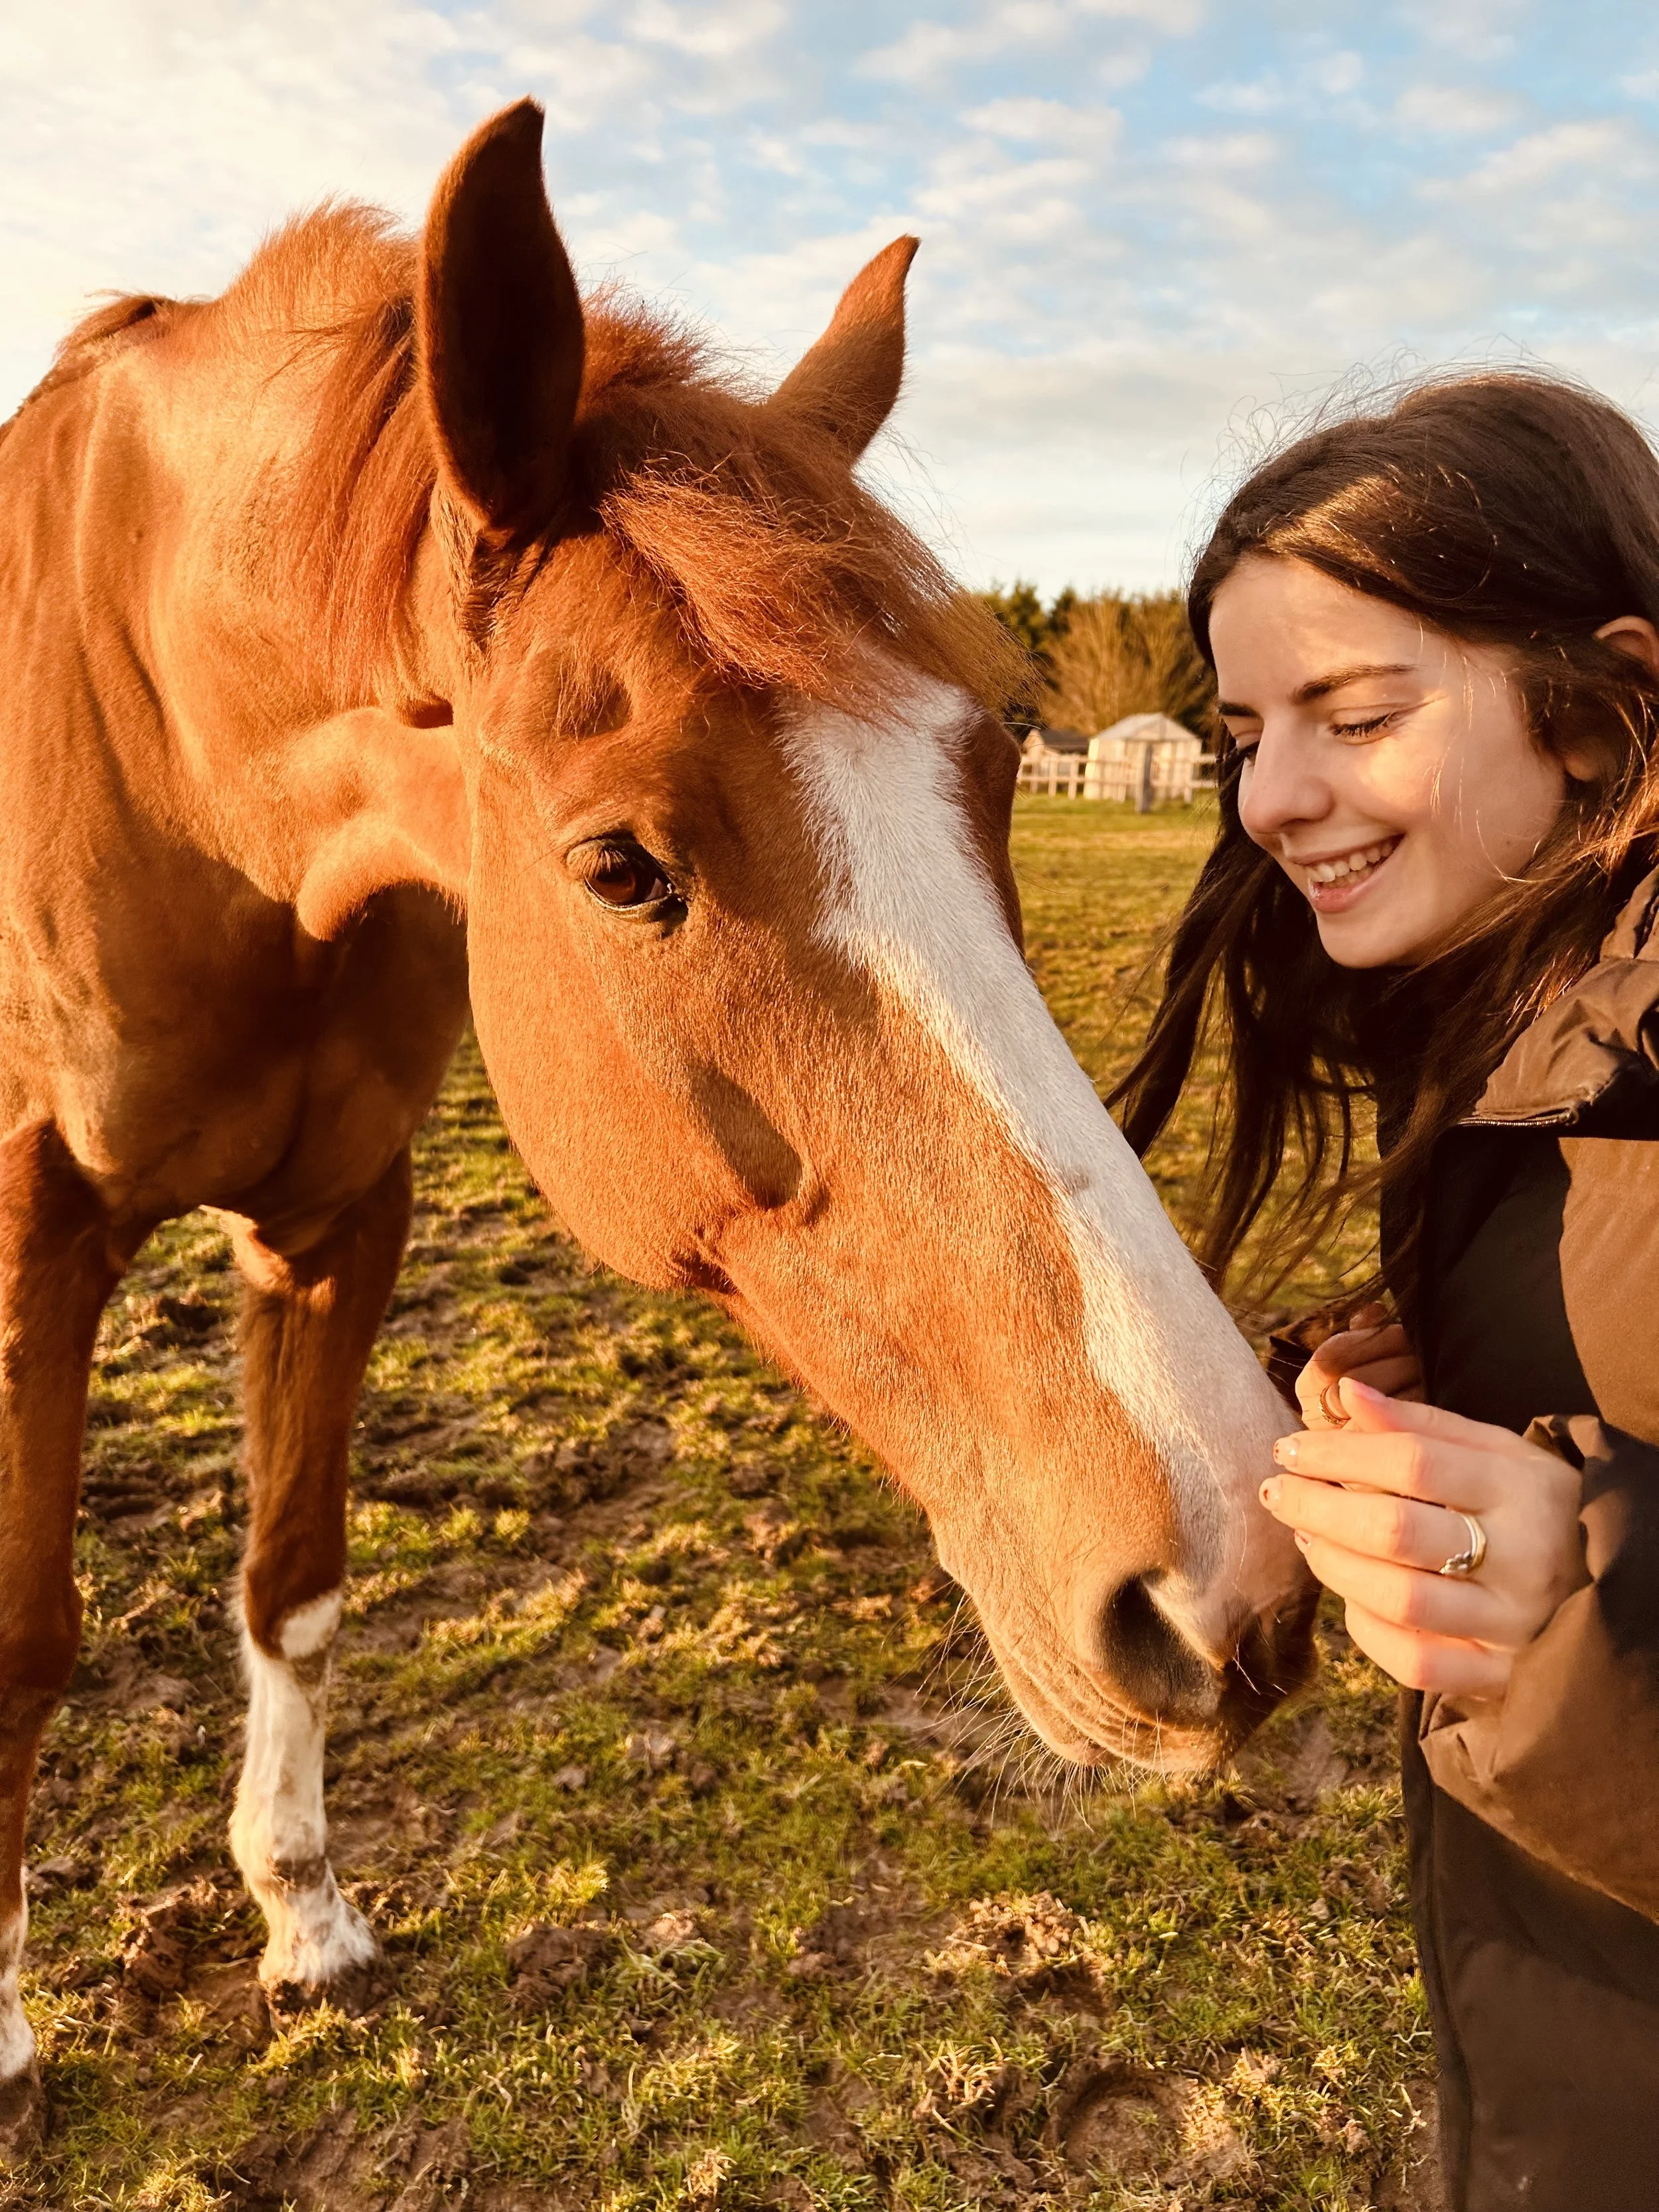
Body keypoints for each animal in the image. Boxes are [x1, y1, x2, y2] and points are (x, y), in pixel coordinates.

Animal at [0, 100, 1313, 2152]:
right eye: (623, 866)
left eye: (991, 769)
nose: (1233, 1585)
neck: (170, 760)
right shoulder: (28, 1234)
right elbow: (21, 1641)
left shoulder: (338, 1213)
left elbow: (294, 1579)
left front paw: (304, 1913)